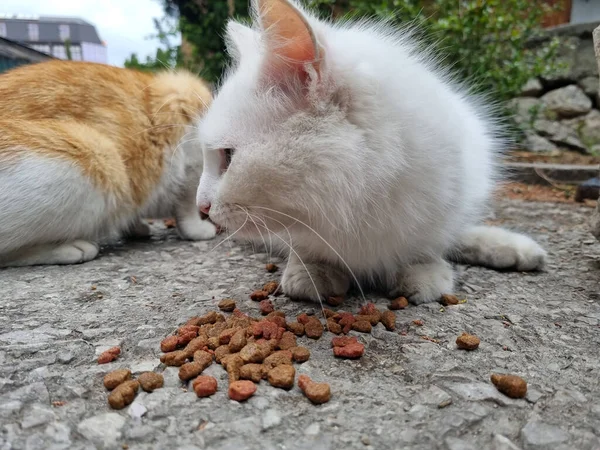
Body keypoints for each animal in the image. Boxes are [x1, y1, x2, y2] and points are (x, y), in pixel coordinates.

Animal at [0, 60, 216, 268]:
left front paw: (134, 227)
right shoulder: (193, 164)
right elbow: (188, 206)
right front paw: (199, 229)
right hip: (100, 156)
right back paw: (70, 249)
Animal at [196, 0, 544, 306]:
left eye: (228, 156)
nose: (201, 207)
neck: (353, 200)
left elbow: (427, 244)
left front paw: (422, 270)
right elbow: (305, 247)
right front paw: (312, 271)